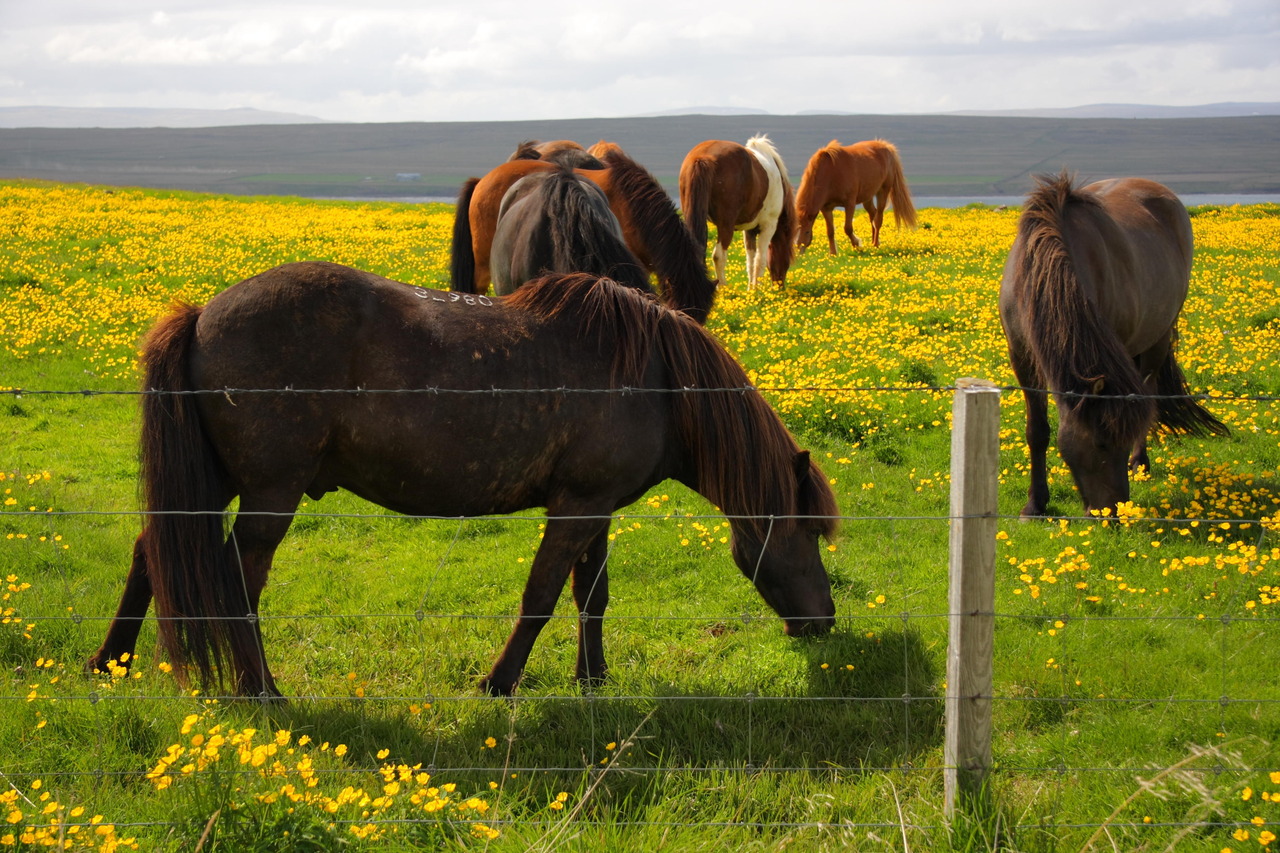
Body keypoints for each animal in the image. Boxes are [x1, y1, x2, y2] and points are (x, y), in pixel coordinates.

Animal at [86, 265, 839, 698]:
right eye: (808, 534)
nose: (824, 623)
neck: (655, 377)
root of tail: (202, 315)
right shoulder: (575, 508)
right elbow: (540, 598)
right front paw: (500, 683)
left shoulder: (595, 507)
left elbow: (591, 597)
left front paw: (592, 680)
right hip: (271, 494)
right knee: (237, 587)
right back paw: (261, 691)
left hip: (213, 482)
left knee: (150, 553)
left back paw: (109, 663)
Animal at [679, 135, 797, 288]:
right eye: (787, 263)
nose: (779, 287)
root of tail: (702, 158)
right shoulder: (768, 226)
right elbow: (760, 259)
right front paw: (757, 289)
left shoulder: (750, 230)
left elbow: (751, 260)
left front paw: (751, 289)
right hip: (725, 225)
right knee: (719, 256)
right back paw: (723, 288)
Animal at [999, 171, 1228, 518]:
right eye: (1100, 443)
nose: (1113, 512)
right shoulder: (1022, 356)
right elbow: (1036, 431)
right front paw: (1035, 504)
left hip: (1156, 340)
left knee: (1149, 391)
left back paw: (1141, 464)